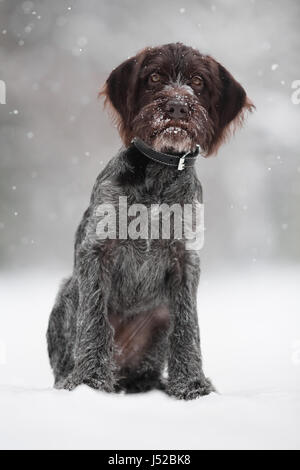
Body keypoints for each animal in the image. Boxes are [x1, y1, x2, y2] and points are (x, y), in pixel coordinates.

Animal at [47, 42, 253, 398]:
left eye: (197, 81)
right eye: (155, 77)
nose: (177, 106)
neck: (160, 174)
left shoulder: (185, 259)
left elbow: (187, 325)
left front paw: (191, 384)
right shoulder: (96, 251)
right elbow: (94, 319)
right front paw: (89, 382)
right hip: (68, 292)